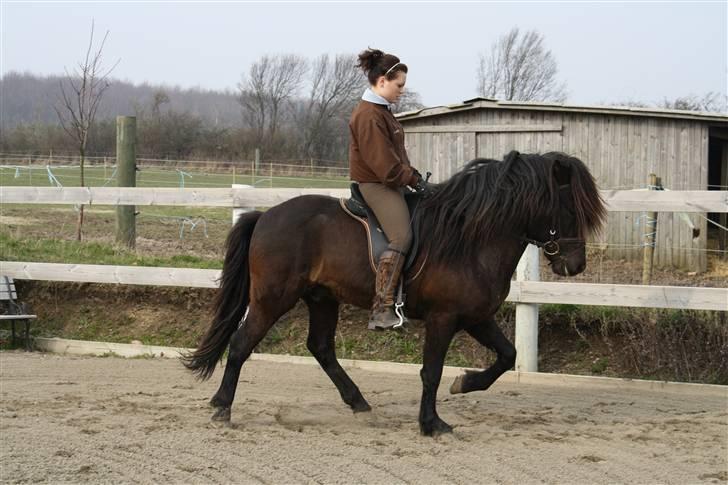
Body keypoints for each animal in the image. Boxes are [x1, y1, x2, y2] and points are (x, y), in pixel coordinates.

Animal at [185, 148, 604, 434]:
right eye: (569, 209)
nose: (575, 265)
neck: (472, 238)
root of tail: (265, 216)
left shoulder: (476, 316)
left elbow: (507, 355)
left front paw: (464, 384)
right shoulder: (443, 318)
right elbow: (431, 371)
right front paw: (432, 423)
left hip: (322, 298)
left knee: (321, 348)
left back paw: (357, 401)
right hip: (273, 298)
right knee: (241, 344)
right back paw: (222, 407)